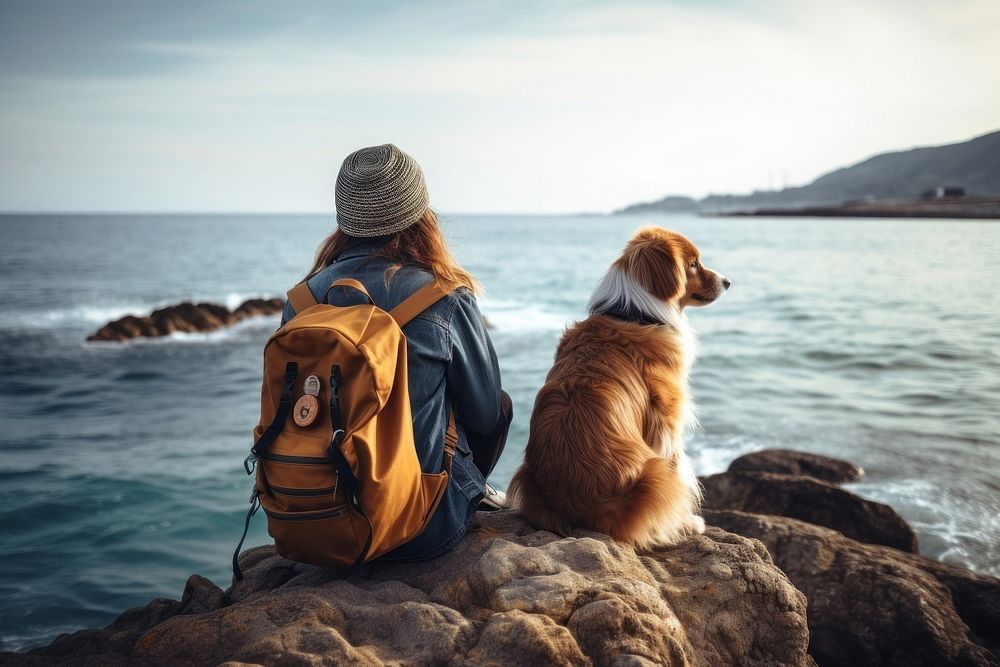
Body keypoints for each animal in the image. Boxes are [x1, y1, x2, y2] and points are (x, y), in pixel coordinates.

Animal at [512, 227, 732, 552]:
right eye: (693, 264)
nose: (728, 281)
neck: (634, 313)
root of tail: (579, 505)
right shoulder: (666, 420)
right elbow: (678, 464)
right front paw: (686, 520)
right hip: (653, 473)